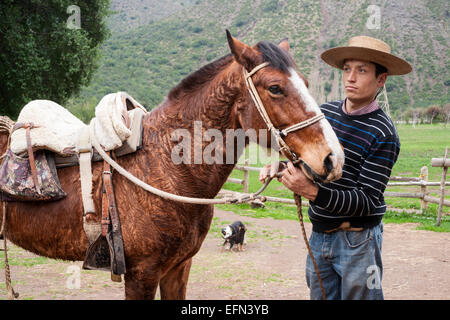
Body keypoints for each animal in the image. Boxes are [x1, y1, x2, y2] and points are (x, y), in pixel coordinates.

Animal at [0, 31, 344, 298]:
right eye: (275, 88)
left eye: (306, 82)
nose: (333, 158)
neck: (168, 167)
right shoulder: (142, 274)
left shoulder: (178, 267)